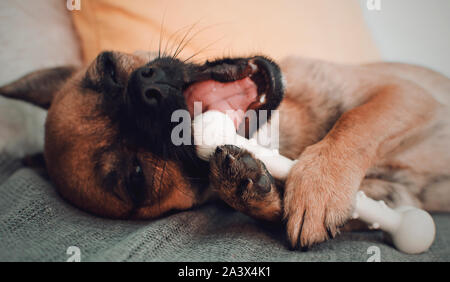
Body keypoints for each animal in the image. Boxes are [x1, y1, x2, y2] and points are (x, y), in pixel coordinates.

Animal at [0, 51, 450, 249]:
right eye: (136, 177)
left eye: (109, 69)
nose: (146, 90)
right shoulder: (392, 198)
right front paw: (250, 190)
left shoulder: (404, 95)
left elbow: (355, 121)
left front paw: (320, 182)